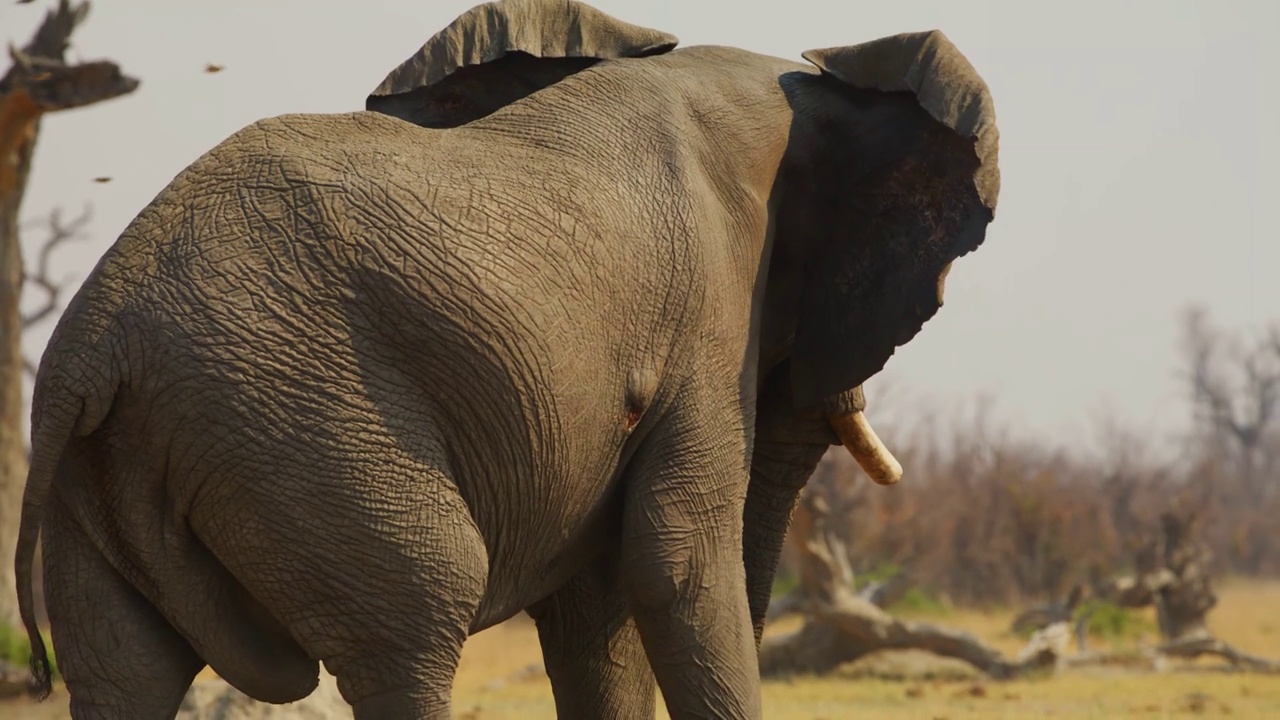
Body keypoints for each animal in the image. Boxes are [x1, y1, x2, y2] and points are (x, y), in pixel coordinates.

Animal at [15, 1, 1003, 717]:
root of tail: (89, 345)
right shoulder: (709, 316)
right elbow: (675, 562)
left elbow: (597, 604)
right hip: (289, 422)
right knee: (419, 614)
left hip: (116, 462)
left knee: (123, 668)